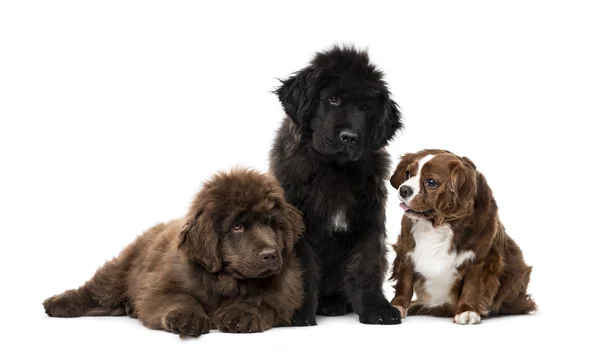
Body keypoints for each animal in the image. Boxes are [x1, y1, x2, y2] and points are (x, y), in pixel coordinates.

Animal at [43, 168, 304, 336]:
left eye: (270, 223)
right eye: (237, 227)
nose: (270, 254)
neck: (226, 281)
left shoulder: (283, 294)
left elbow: (259, 299)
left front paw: (239, 315)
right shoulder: (161, 285)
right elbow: (181, 297)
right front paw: (188, 318)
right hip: (120, 269)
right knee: (95, 290)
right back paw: (57, 303)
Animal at [270, 45, 404, 326]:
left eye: (365, 107)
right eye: (333, 100)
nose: (349, 137)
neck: (335, 170)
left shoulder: (369, 219)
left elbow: (367, 265)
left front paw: (376, 308)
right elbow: (303, 269)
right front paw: (298, 313)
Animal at [392, 149, 536, 324]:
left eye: (431, 182)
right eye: (408, 174)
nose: (403, 189)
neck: (440, 224)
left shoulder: (481, 258)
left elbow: (471, 287)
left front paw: (467, 311)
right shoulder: (407, 251)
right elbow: (404, 284)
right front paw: (396, 307)